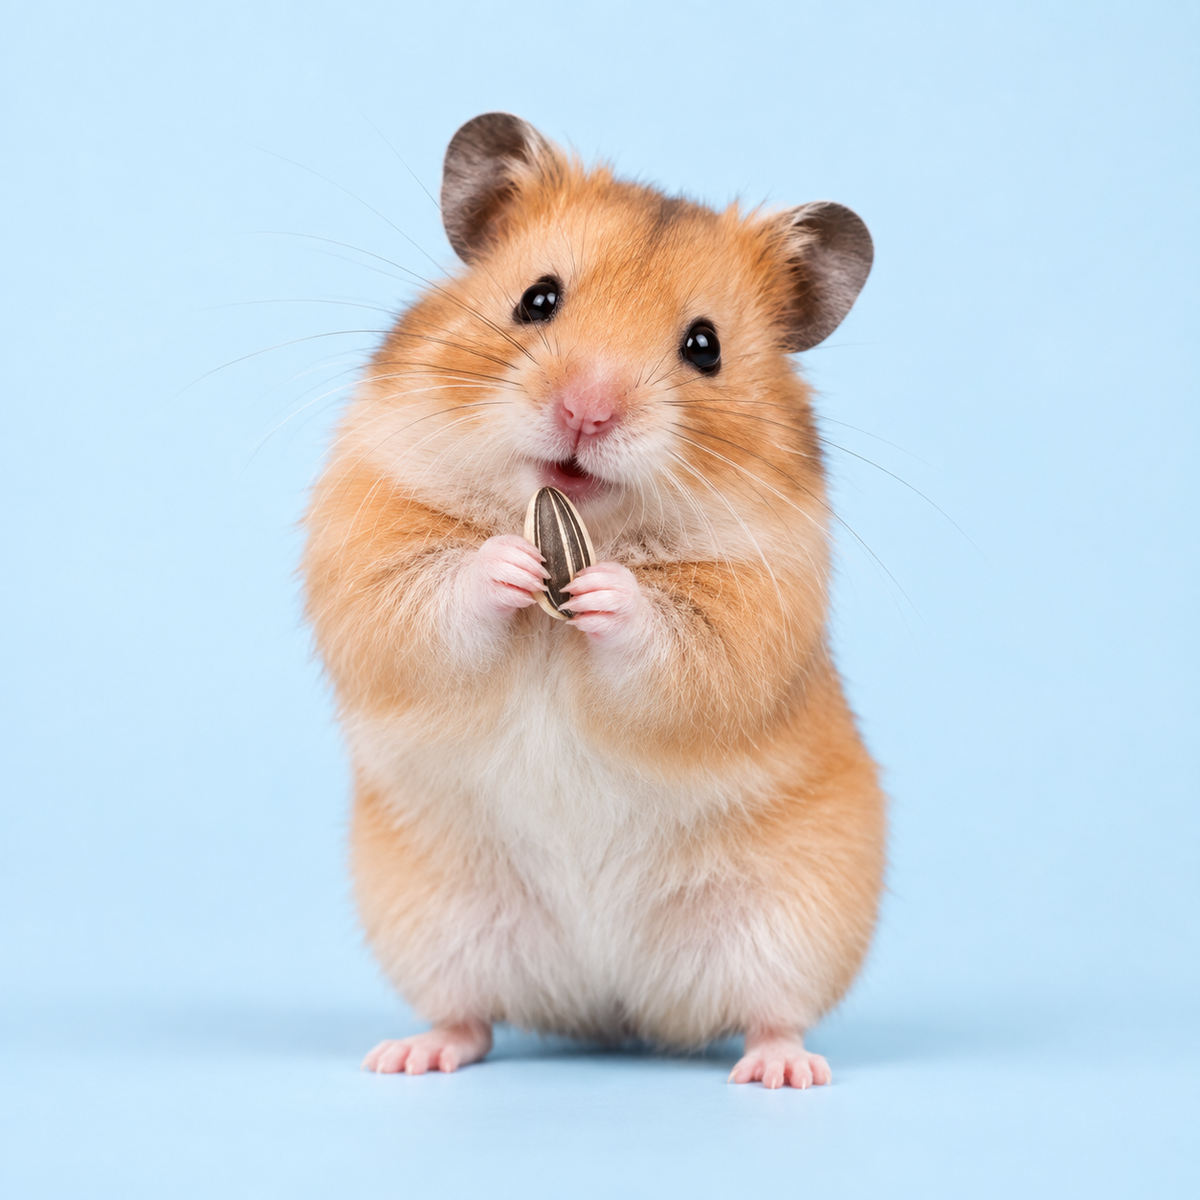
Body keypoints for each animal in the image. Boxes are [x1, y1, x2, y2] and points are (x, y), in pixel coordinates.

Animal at [303, 113, 886, 1089]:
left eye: (704, 347)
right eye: (537, 299)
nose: (587, 411)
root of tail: (609, 1005)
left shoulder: (751, 618)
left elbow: (677, 645)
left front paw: (607, 589)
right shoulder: (368, 552)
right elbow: (427, 594)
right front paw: (508, 562)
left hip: (792, 919)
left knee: (772, 1013)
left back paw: (782, 1072)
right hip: (433, 919)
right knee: (471, 1017)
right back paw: (409, 1056)